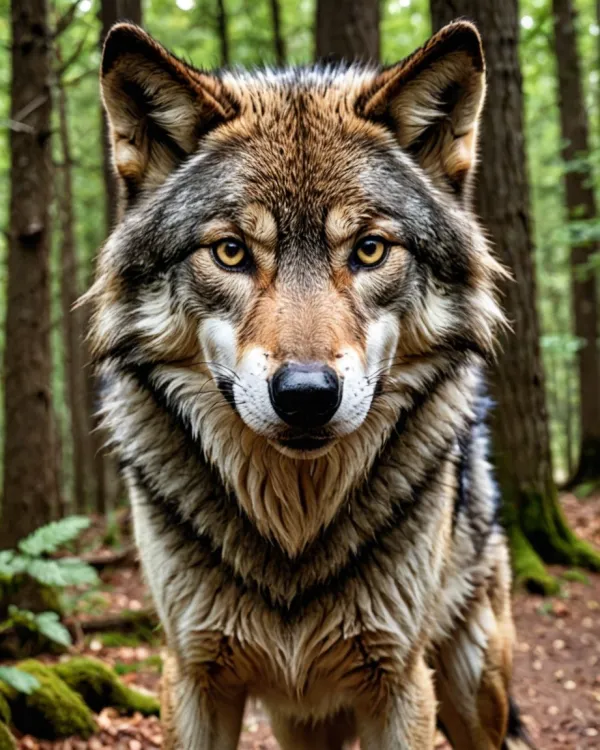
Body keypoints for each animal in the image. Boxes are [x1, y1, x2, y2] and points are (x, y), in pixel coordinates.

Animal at [89, 18, 534, 749]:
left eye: (370, 250)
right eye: (232, 251)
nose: (305, 395)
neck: (294, 531)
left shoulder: (400, 683)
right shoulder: (193, 675)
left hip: (473, 688)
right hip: (302, 720)